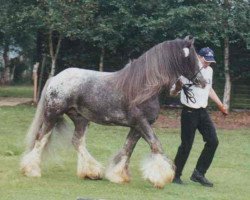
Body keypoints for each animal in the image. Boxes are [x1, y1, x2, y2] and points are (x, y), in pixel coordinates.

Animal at [20, 35, 206, 188]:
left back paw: (91, 172)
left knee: (77, 141)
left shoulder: (136, 127)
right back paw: (31, 170)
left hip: (81, 118)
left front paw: (118, 176)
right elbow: (156, 145)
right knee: (41, 138)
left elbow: (127, 149)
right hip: (53, 114)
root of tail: (55, 78)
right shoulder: (142, 122)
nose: (203, 82)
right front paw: (160, 177)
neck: (145, 87)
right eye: (193, 58)